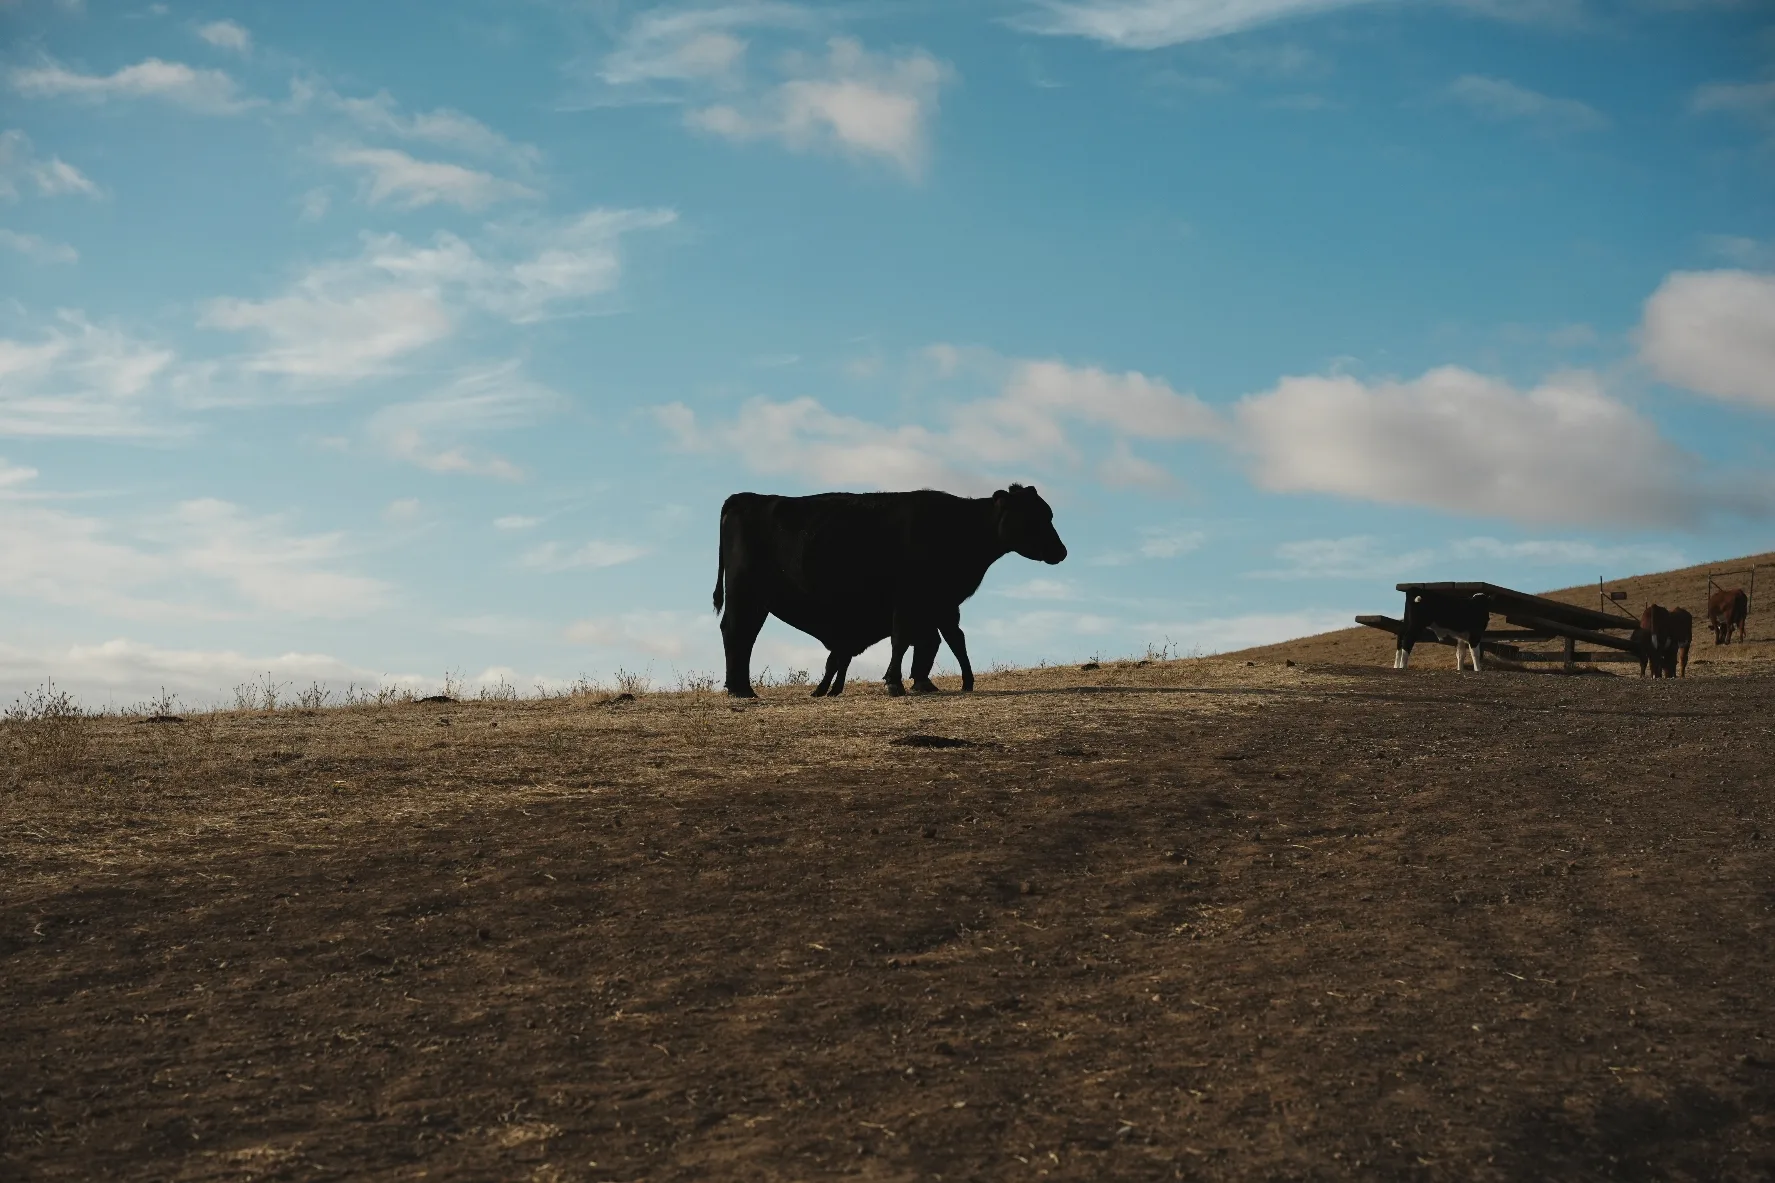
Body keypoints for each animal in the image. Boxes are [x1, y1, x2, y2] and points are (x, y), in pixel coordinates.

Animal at [713, 485, 1068, 699]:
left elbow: (939, 641)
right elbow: (904, 638)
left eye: (1049, 514)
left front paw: (926, 682)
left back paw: (743, 688)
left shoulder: (940, 603)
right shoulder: (909, 598)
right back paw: (740, 689)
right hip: (745, 593)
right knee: (737, 633)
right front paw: (895, 681)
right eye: (1032, 517)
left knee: (743, 636)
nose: (1061, 551)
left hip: (757, 599)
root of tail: (746, 497)